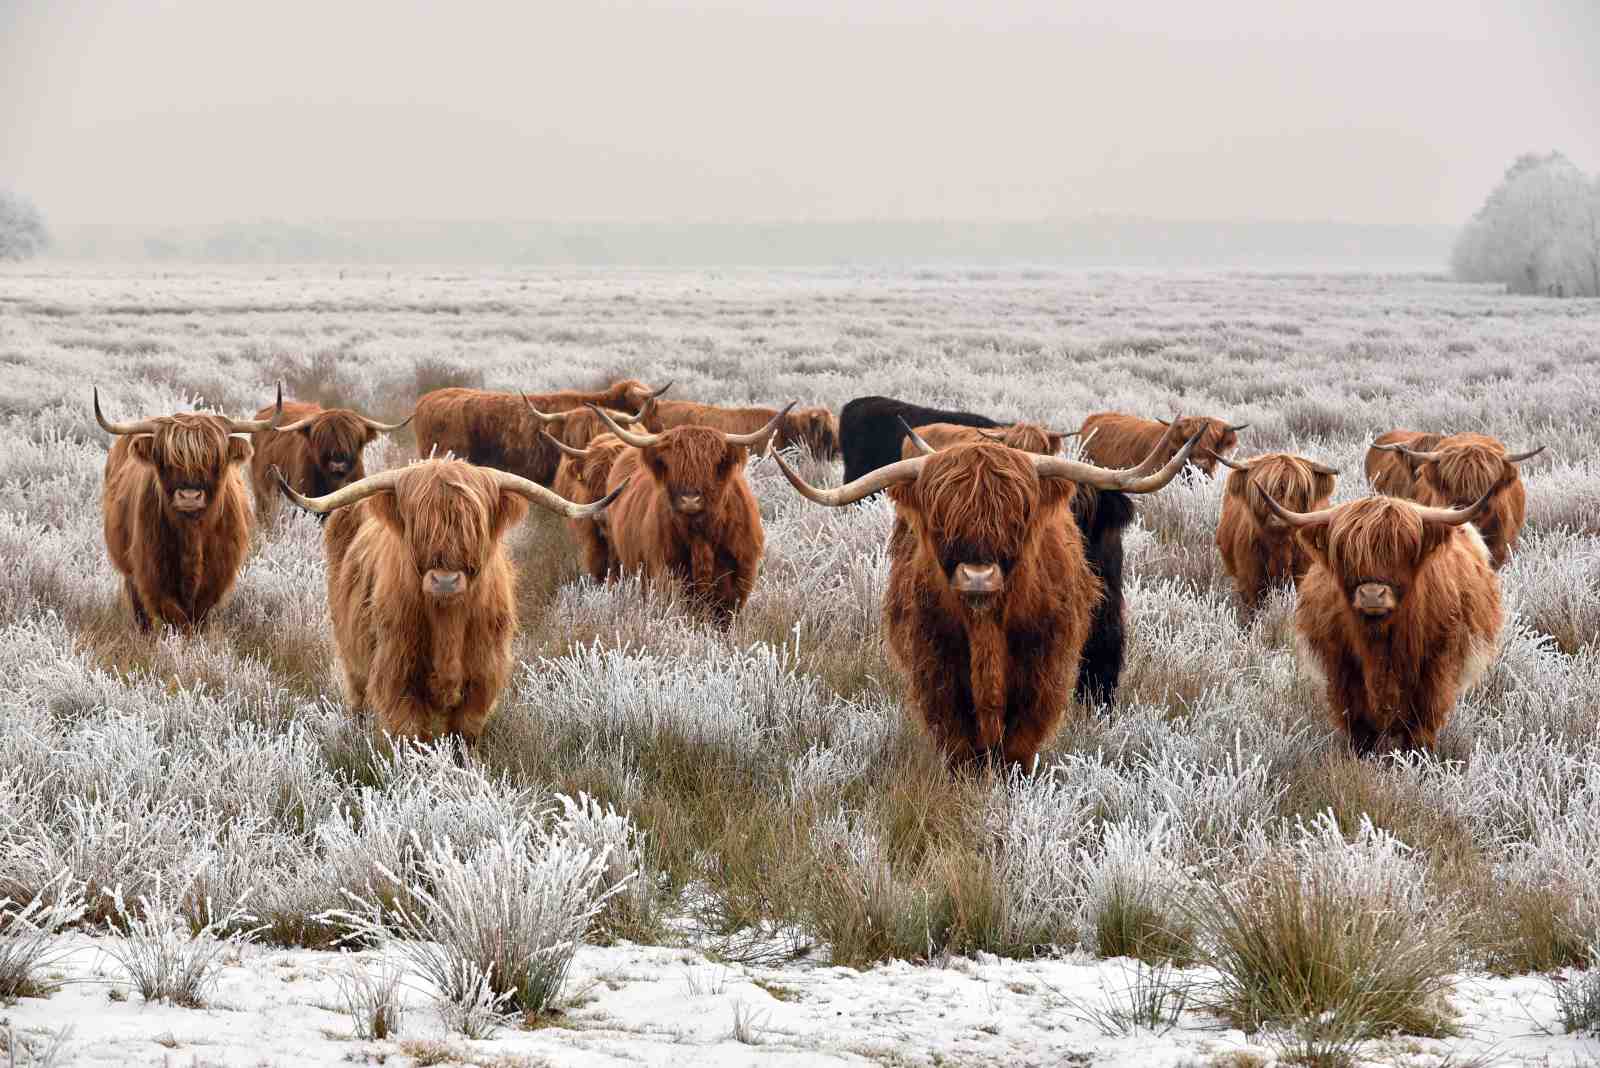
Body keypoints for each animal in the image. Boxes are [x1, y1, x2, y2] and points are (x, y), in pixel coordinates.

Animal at [95, 385, 283, 631]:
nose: (189, 496)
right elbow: (176, 618)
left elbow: (197, 617)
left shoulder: (216, 578)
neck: (192, 534)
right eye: (165, 459)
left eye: (214, 459)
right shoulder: (152, 574)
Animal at [272, 458, 624, 744]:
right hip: (352, 658)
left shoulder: (482, 678)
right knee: (357, 698)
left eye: (474, 525)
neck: (447, 623)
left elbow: (462, 737)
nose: (445, 580)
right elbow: (413, 738)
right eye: (418, 525)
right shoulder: (397, 676)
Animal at [588, 403, 793, 622]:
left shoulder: (738, 580)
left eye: (712, 465)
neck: (700, 536)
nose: (690, 500)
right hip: (618, 557)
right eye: (671, 465)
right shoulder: (667, 573)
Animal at [1261, 481, 1508, 756]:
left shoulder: (1435, 669)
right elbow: (1360, 726)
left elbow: (1421, 725)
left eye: (1404, 550)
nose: (1371, 594)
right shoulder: (1342, 669)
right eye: (1347, 553)